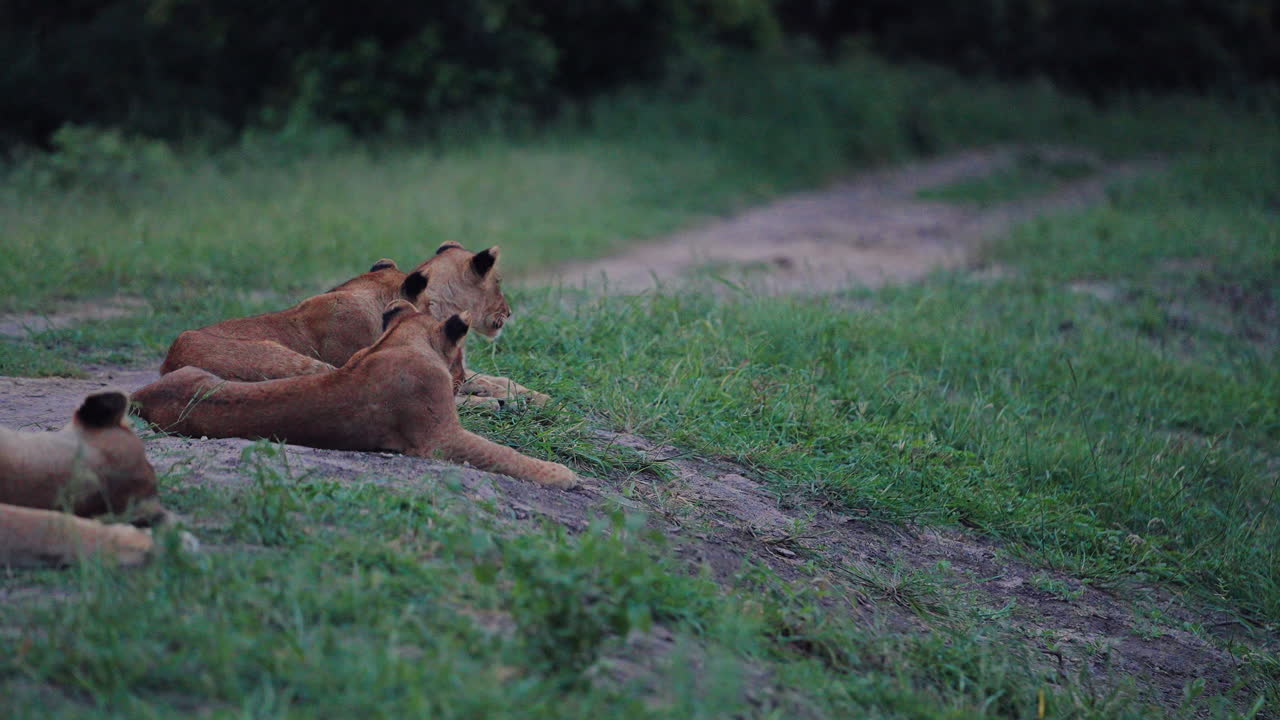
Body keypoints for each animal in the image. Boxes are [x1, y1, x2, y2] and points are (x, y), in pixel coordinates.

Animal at [134, 286, 579, 489]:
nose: (458, 376)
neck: (400, 342)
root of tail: (145, 392)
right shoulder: (439, 438)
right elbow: (504, 454)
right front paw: (564, 473)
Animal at [159, 242, 547, 405]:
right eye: (499, 282)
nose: (510, 312)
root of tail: (169, 365)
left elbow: (493, 378)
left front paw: (538, 394)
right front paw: (516, 398)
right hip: (294, 361)